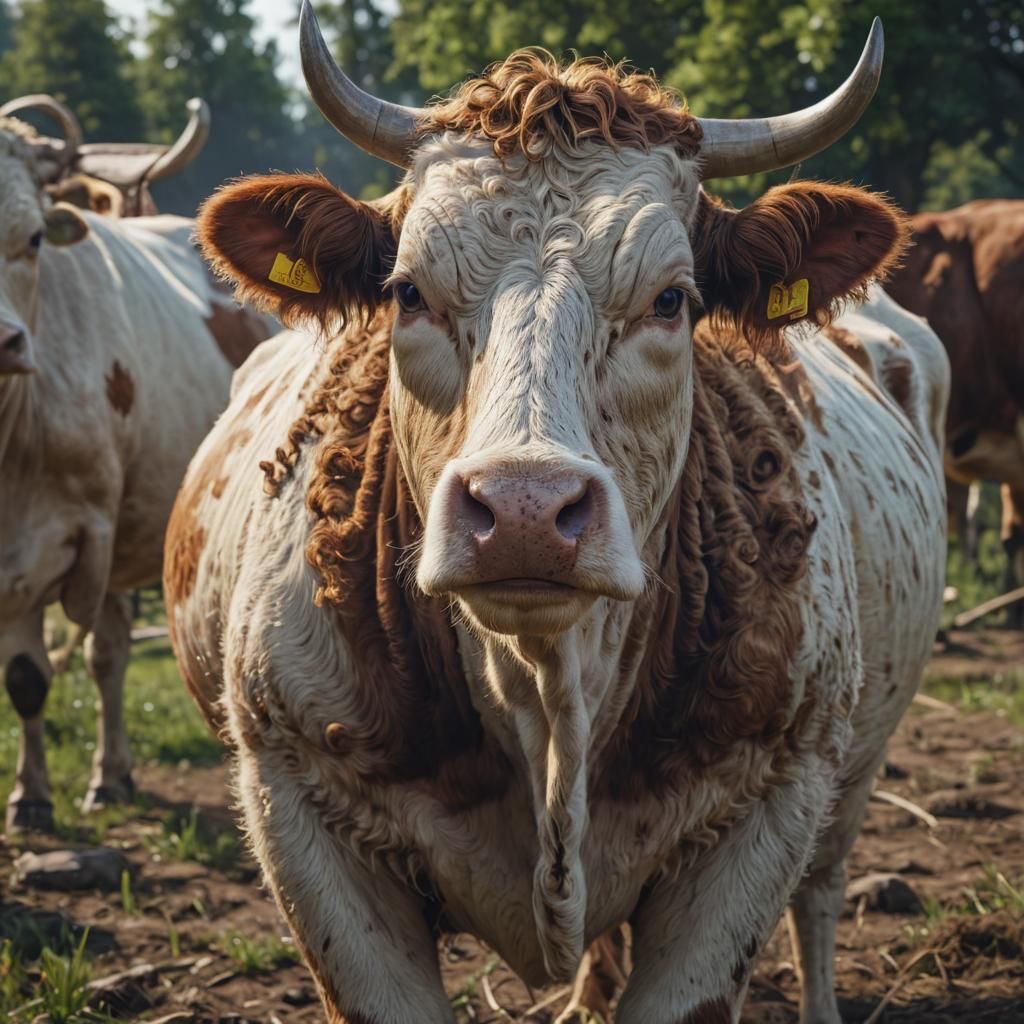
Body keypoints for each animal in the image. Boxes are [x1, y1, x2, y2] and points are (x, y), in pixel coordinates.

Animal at [0, 111, 276, 833]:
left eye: (32, 239)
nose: (3, 343)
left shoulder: (82, 534)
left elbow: (69, 663)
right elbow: (25, 677)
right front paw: (31, 795)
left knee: (110, 650)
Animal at [165, 8, 948, 1024]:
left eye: (672, 299)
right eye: (407, 291)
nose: (526, 509)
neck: (545, 694)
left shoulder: (768, 805)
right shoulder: (300, 804)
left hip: (847, 776)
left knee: (819, 895)